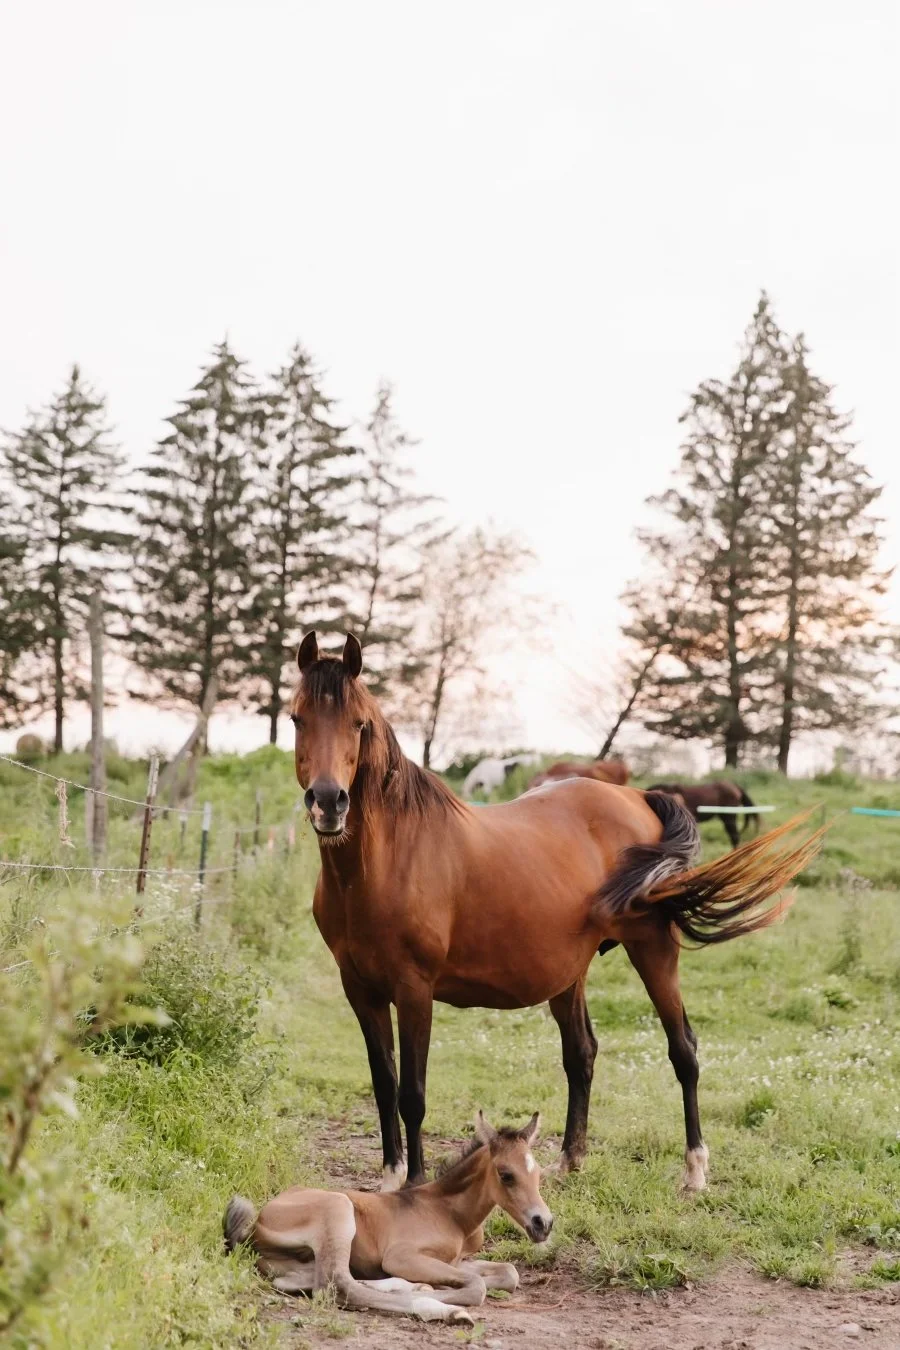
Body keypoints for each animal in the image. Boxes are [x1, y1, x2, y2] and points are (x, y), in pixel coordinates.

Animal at [224, 1111, 550, 1323]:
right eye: (506, 1175)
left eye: (538, 1174)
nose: (543, 1223)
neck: (448, 1211)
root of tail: (253, 1227)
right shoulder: (402, 1257)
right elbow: (477, 1286)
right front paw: (445, 1293)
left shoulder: (455, 1261)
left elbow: (509, 1273)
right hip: (338, 1209)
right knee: (339, 1287)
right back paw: (442, 1308)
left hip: (298, 1264)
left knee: (304, 1283)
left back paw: (414, 1287)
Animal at [290, 632, 819, 1196]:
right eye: (298, 718)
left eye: (358, 723)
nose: (329, 801)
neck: (388, 859)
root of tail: (640, 798)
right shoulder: (360, 989)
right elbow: (384, 1082)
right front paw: (391, 1179)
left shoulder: (414, 989)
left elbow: (412, 1092)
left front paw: (414, 1184)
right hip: (570, 973)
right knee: (581, 1054)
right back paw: (570, 1159)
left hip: (654, 950)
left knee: (684, 1051)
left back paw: (694, 1170)